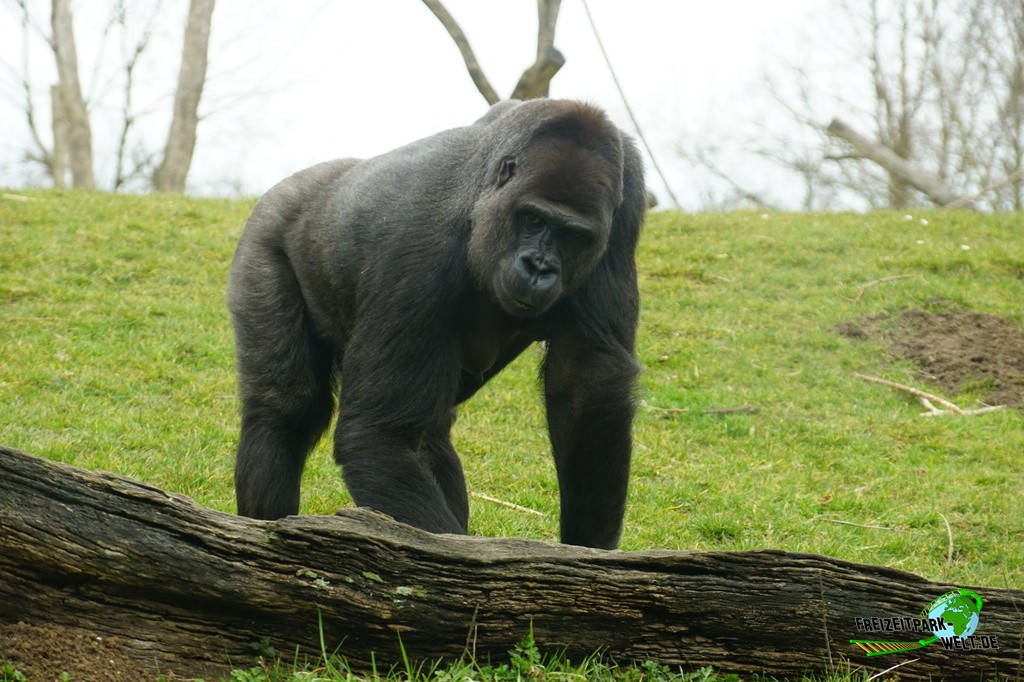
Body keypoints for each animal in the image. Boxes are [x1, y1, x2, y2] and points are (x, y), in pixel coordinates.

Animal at [233, 99, 647, 548]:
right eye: (533, 219)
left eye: (573, 236)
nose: (539, 267)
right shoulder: (417, 242)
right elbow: (380, 436)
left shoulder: (625, 209)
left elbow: (586, 388)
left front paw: (588, 552)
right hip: (265, 231)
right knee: (285, 410)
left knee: (430, 432)